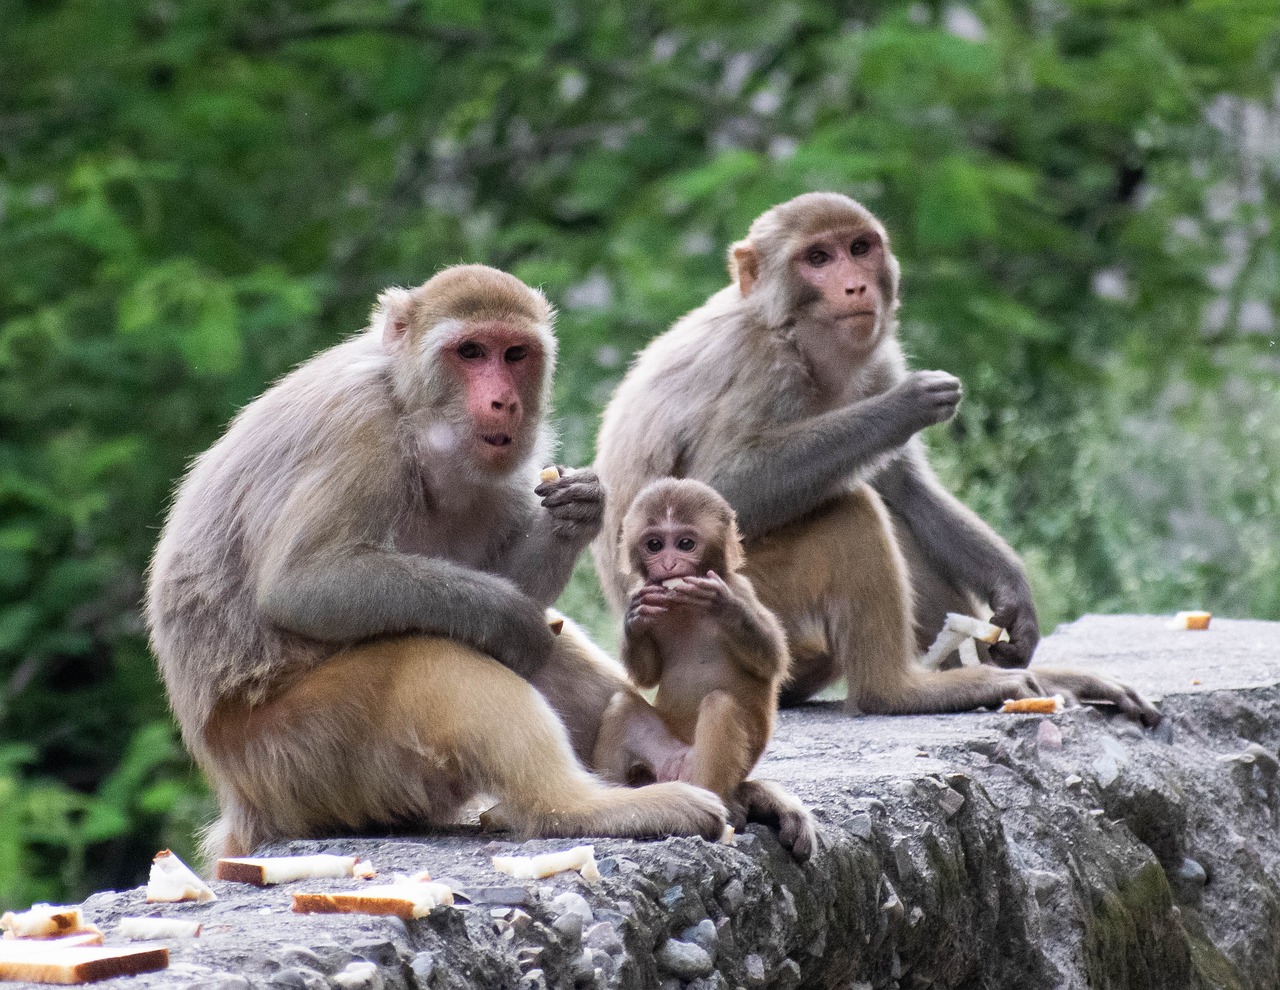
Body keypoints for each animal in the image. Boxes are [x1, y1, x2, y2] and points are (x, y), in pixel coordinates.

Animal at [146, 264, 729, 861]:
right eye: (470, 351)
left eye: (514, 353)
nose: (504, 402)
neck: (409, 410)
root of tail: (241, 800)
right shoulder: (362, 434)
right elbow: (303, 584)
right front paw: (505, 615)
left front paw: (578, 510)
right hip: (300, 756)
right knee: (433, 658)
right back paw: (581, 808)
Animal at [589, 479, 816, 857]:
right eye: (654, 545)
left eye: (685, 544)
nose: (668, 564)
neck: (685, 608)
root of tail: (678, 769)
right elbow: (647, 674)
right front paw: (633, 619)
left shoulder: (742, 587)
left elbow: (773, 660)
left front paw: (722, 605)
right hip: (663, 756)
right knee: (621, 707)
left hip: (713, 768)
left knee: (720, 704)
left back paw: (718, 812)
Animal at [593, 193, 1160, 726]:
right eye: (818, 258)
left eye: (859, 248)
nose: (855, 286)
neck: (797, 335)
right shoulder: (763, 368)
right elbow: (718, 488)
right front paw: (905, 405)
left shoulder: (877, 361)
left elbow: (907, 487)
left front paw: (1012, 591)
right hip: (745, 621)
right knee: (852, 508)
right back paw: (898, 692)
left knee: (892, 513)